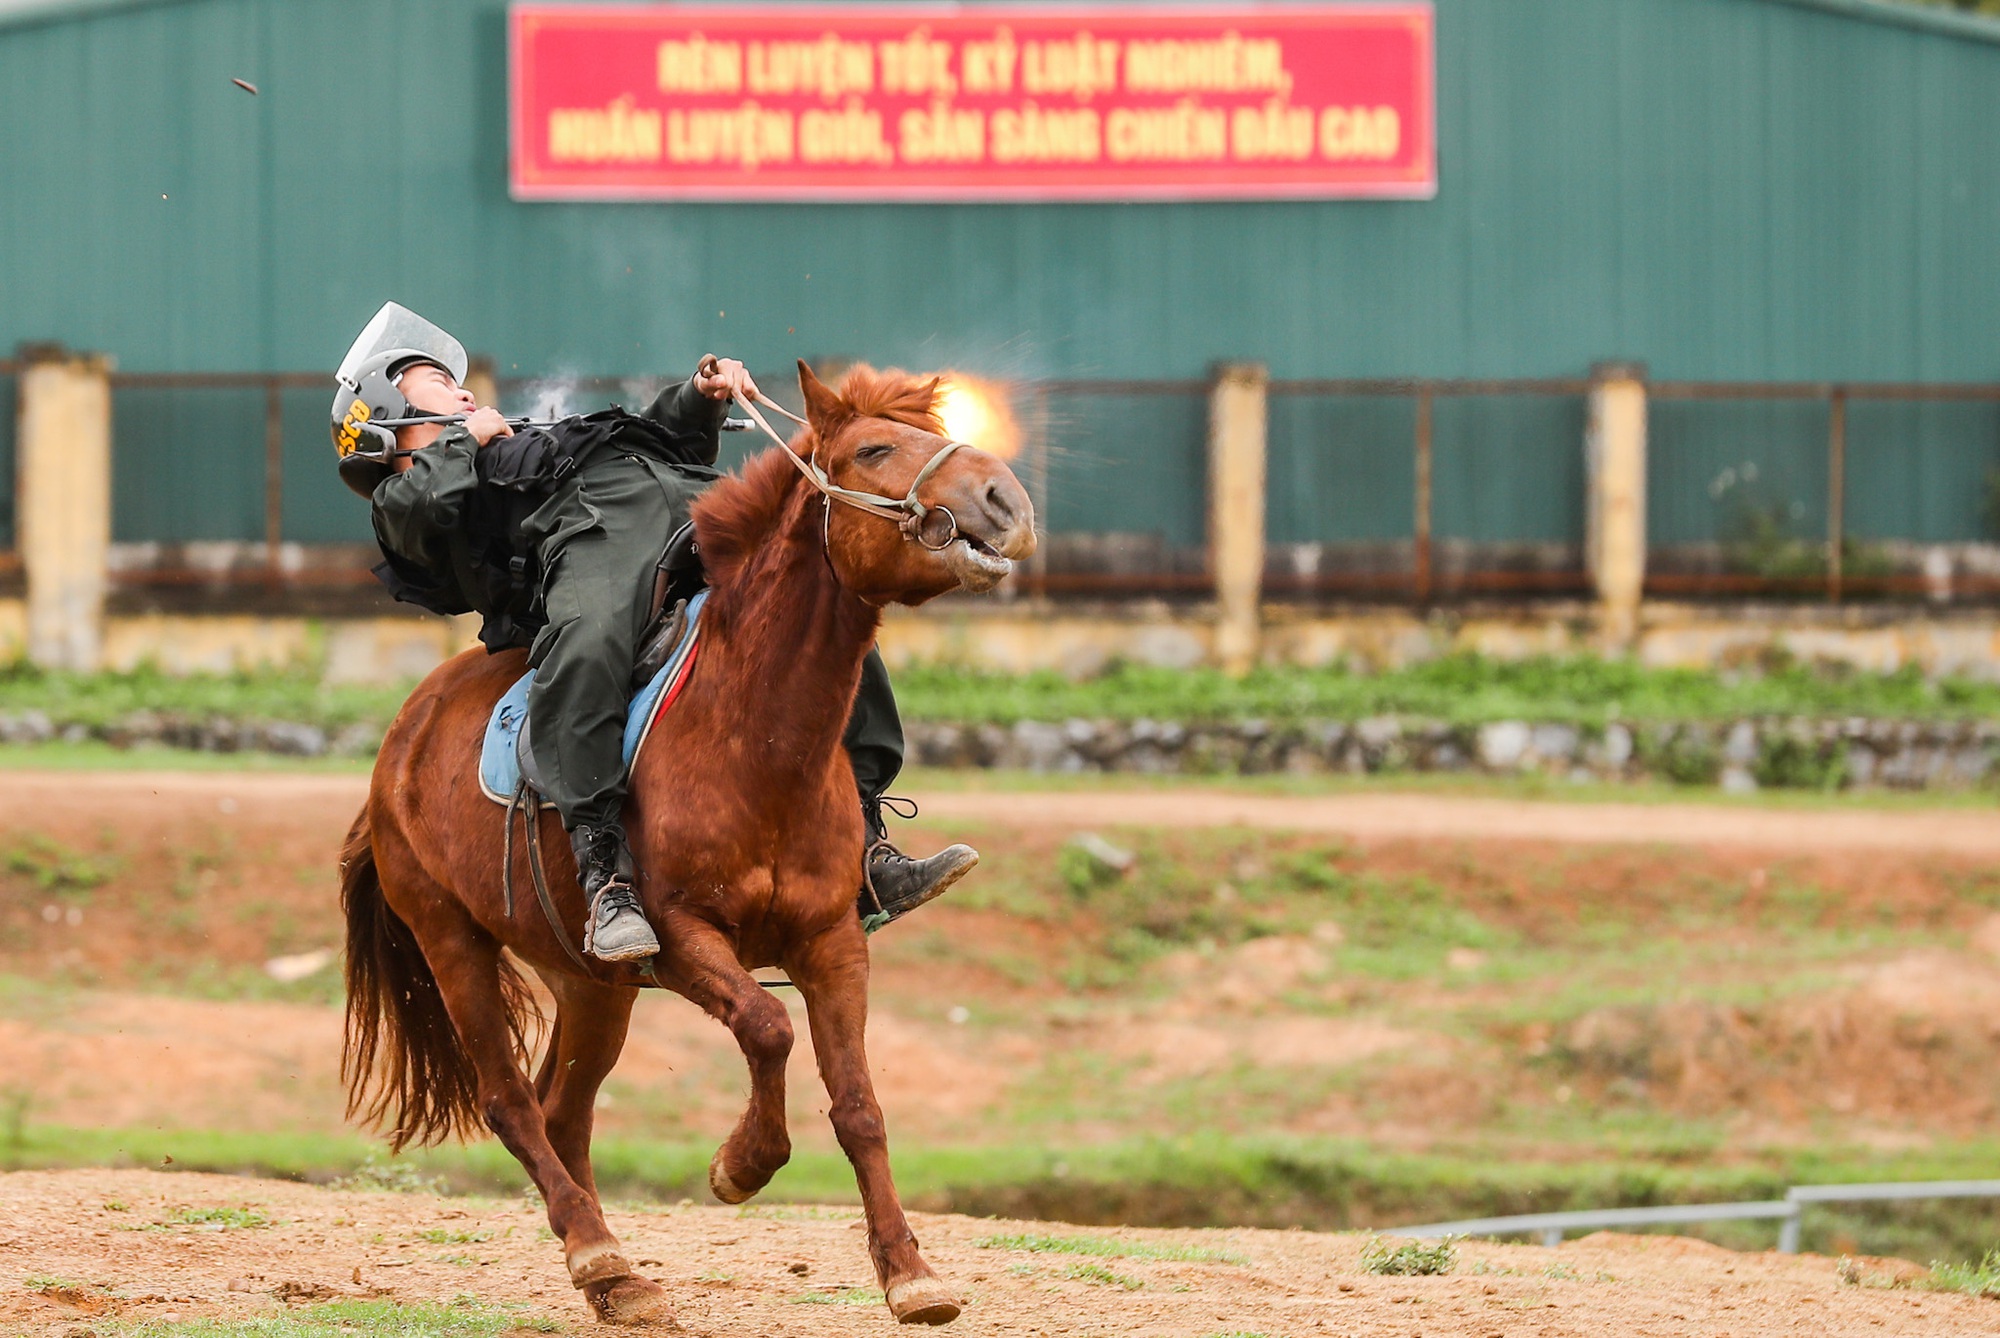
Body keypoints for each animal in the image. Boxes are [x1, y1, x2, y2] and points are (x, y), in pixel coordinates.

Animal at [338, 362, 1040, 1328]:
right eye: (871, 449)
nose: (1005, 500)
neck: (755, 735)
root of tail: (400, 742)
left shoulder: (831, 943)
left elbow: (858, 1104)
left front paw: (910, 1274)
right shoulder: (682, 939)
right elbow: (768, 1029)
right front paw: (741, 1165)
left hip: (590, 985)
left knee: (562, 1111)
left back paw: (616, 1278)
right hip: (453, 942)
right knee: (511, 1103)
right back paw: (597, 1253)